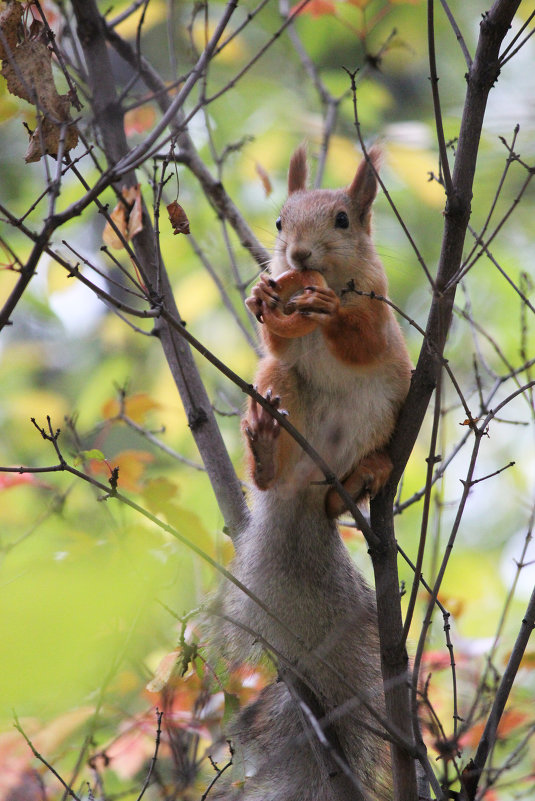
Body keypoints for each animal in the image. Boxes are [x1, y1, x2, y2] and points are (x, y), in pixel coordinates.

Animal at [211, 148, 412, 800]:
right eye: (278, 222)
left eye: (344, 219)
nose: (297, 257)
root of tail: (305, 483)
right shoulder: (279, 343)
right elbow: (275, 334)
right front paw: (262, 296)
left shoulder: (379, 309)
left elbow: (360, 339)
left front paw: (328, 311)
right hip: (278, 385)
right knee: (274, 453)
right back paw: (265, 449)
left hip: (381, 411)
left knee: (334, 497)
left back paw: (364, 477)